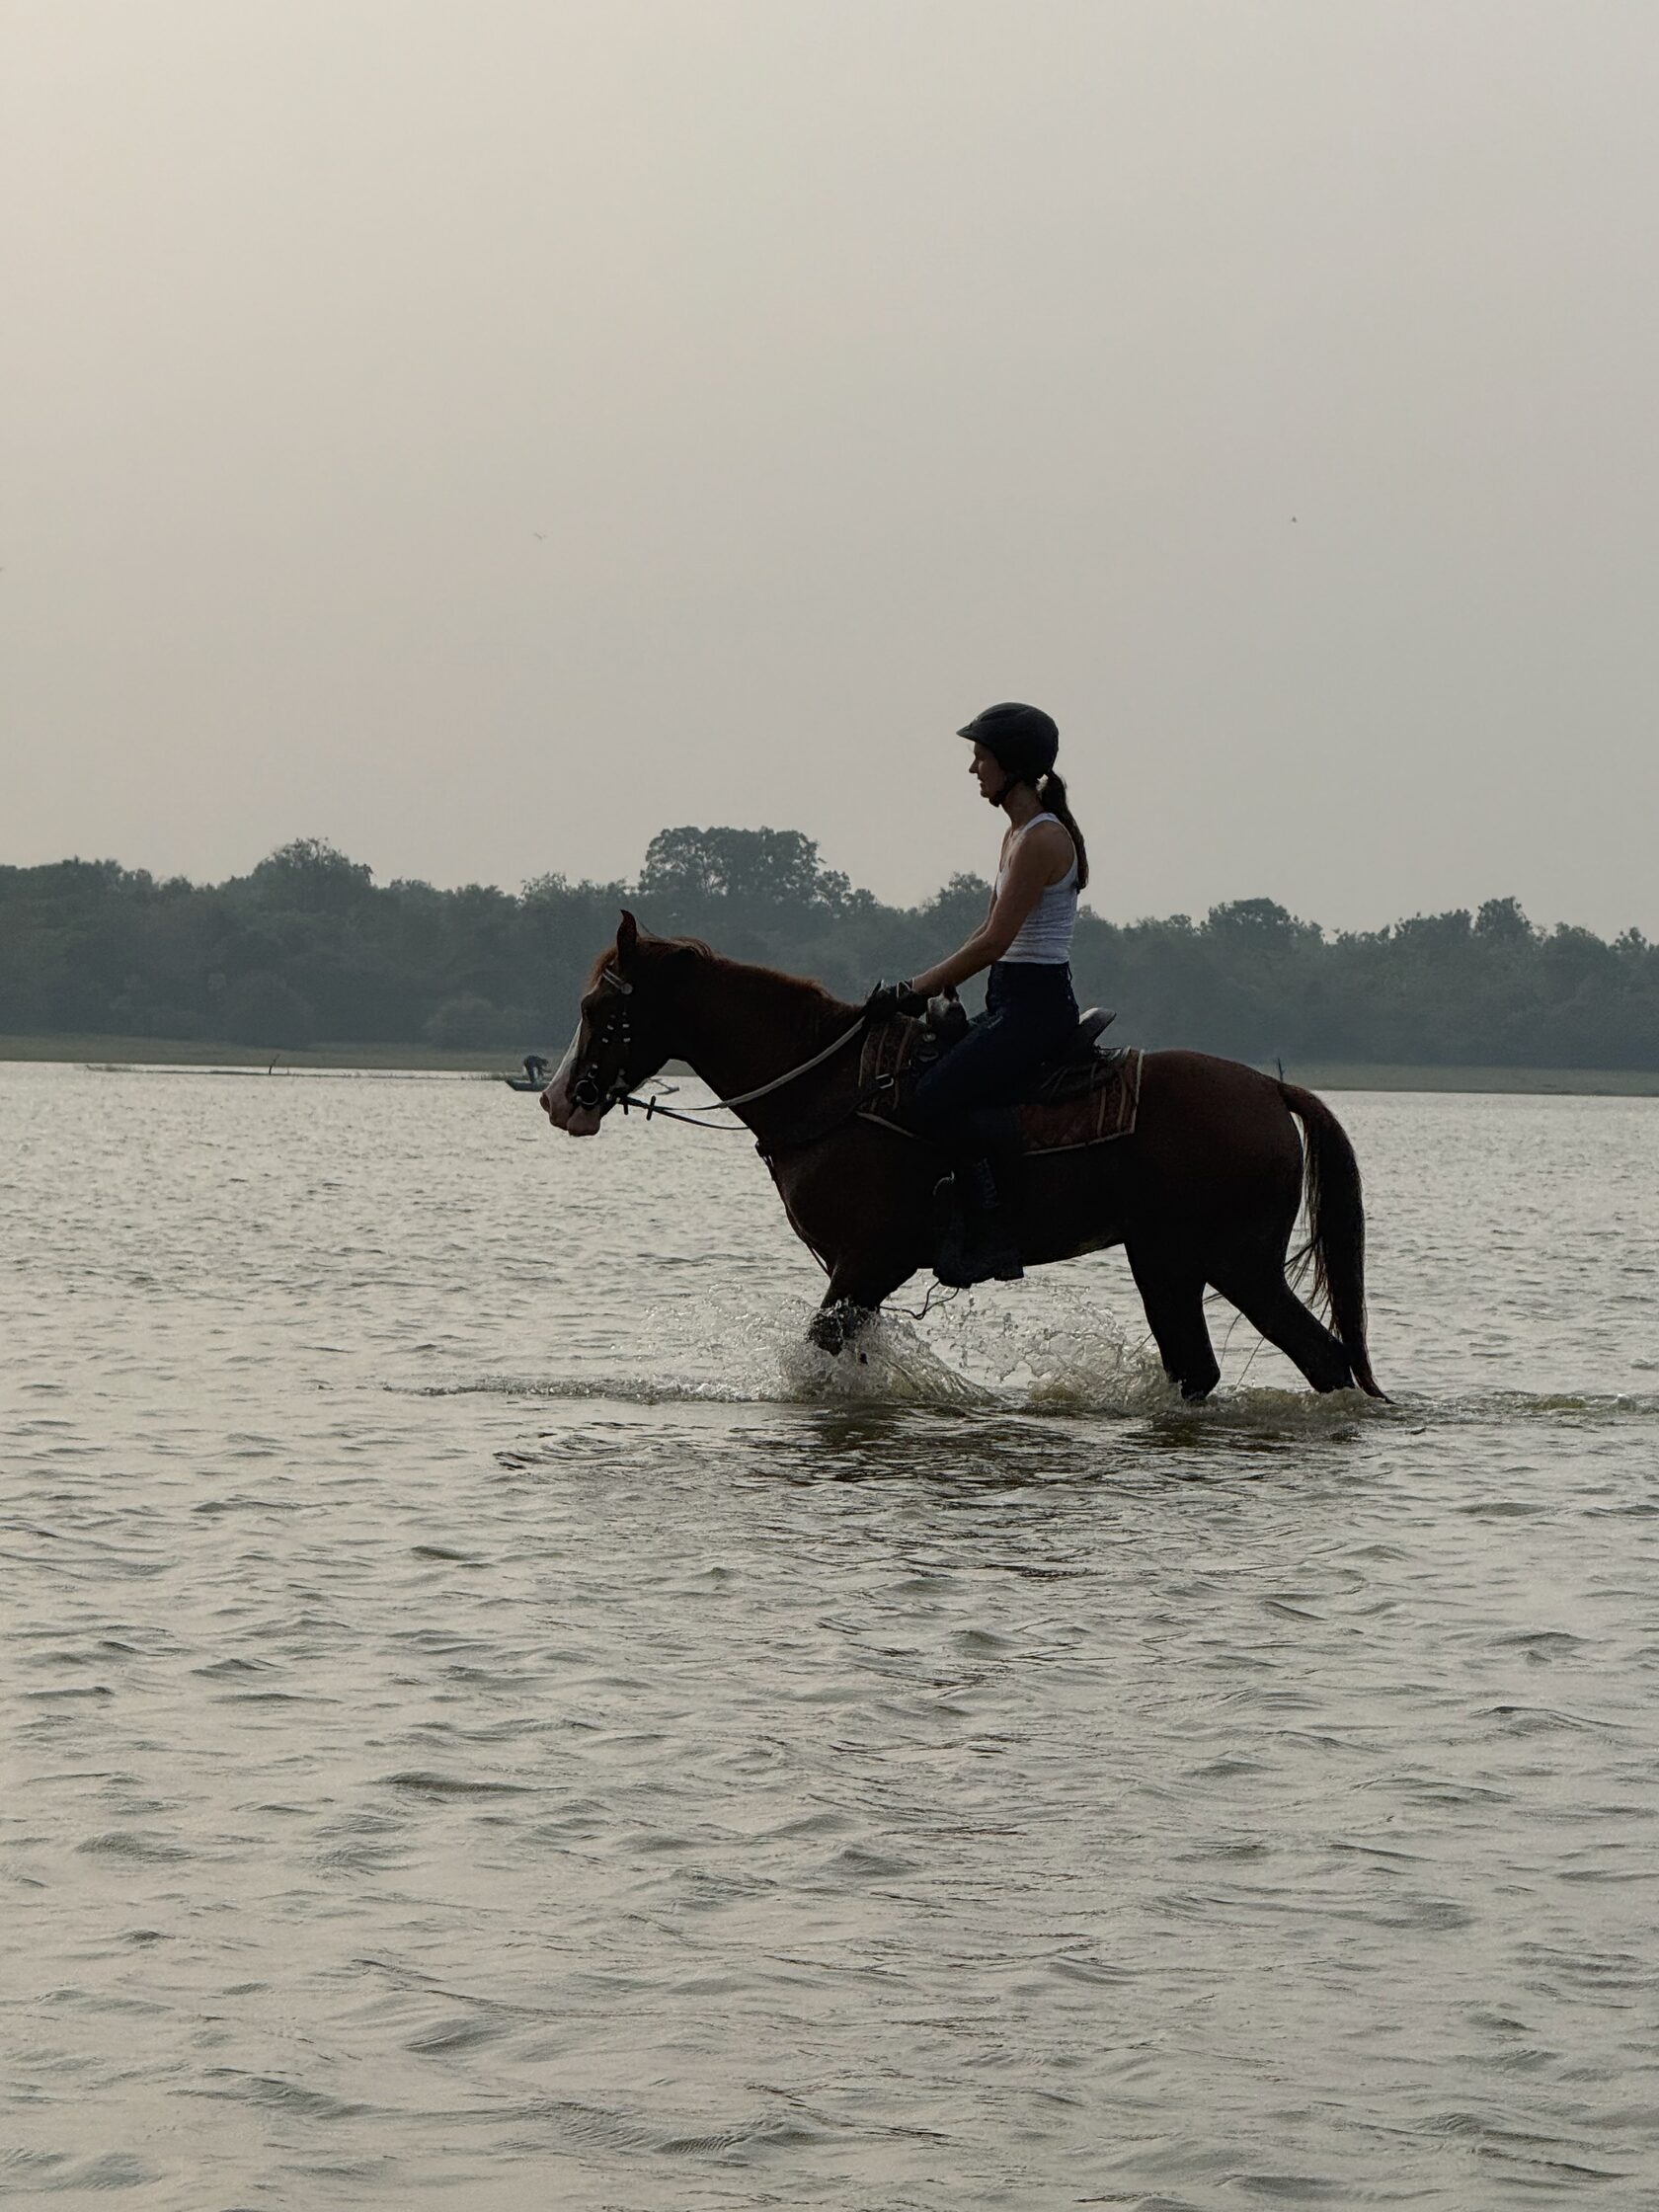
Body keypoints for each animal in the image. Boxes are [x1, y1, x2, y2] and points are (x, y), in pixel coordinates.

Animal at [541, 912, 1384, 1401]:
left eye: (598, 1007)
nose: (558, 1100)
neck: (829, 1084)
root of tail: (1271, 1090)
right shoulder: (860, 1277)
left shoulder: (867, 1262)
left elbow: (815, 1357)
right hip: (1167, 1262)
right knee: (1204, 1369)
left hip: (1234, 1262)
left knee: (1321, 1357)